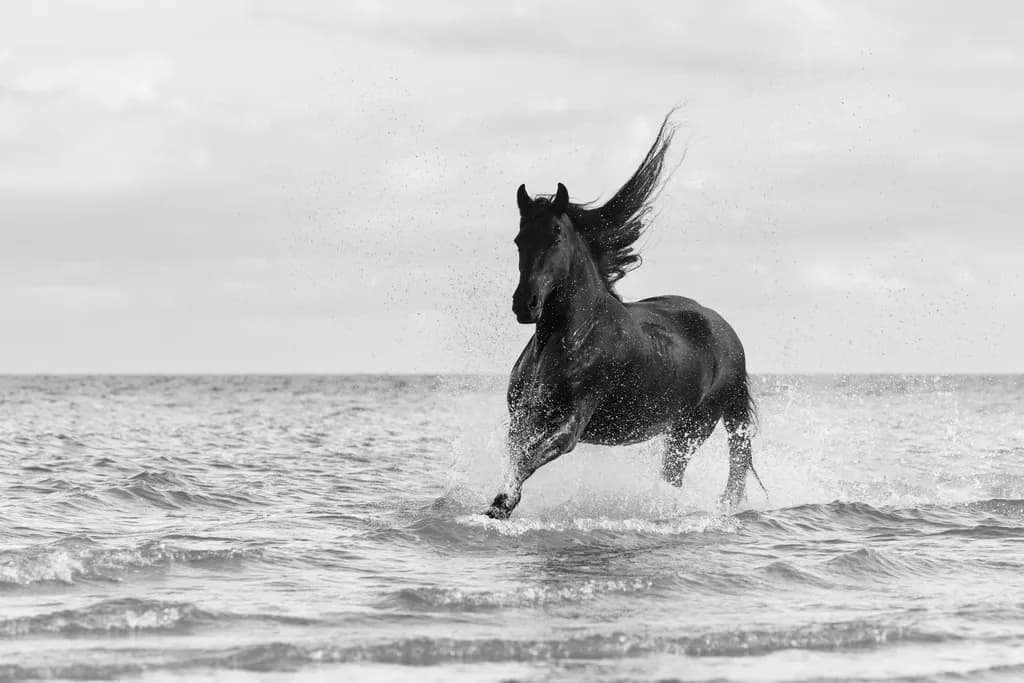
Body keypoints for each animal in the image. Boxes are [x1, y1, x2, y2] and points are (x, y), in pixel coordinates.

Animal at [485, 115, 764, 519]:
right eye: (520, 239)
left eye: (556, 235)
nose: (526, 304)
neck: (573, 337)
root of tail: (728, 334)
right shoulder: (523, 417)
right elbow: (516, 454)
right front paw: (500, 502)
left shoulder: (569, 425)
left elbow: (528, 459)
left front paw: (502, 503)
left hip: (691, 430)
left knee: (691, 474)